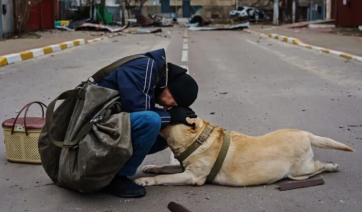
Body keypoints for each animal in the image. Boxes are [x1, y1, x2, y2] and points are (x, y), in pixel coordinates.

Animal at [134, 117, 354, 187]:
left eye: (171, 115)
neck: (197, 141)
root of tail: (305, 133)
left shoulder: (192, 176)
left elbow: (164, 178)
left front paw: (146, 180)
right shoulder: (183, 167)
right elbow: (164, 167)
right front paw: (151, 167)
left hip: (300, 170)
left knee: (319, 166)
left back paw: (332, 166)